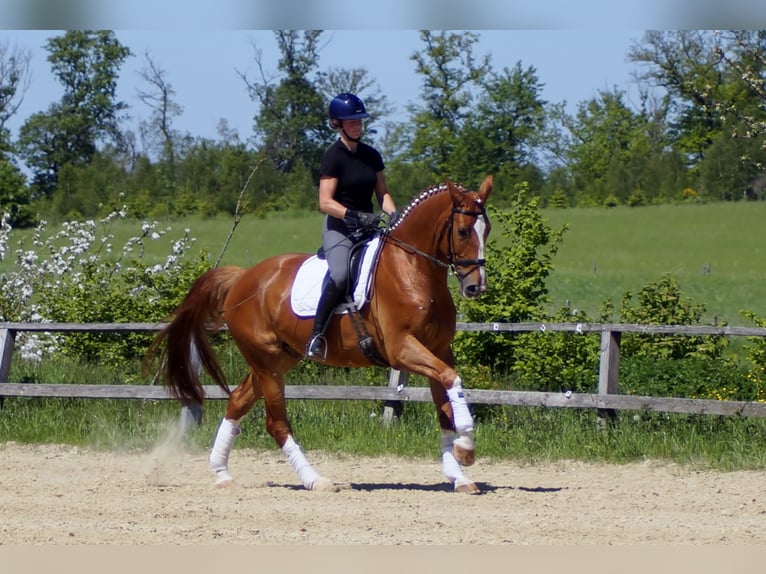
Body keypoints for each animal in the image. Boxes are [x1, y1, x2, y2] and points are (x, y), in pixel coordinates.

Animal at [147, 176, 496, 496]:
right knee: (277, 423)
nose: (475, 287)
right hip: (267, 363)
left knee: (237, 400)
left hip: (277, 360)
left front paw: (459, 474)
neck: (413, 269)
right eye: (463, 231)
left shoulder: (439, 349)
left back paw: (222, 473)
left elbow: (446, 405)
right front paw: (466, 449)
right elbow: (451, 381)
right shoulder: (402, 349)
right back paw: (315, 480)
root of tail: (242, 278)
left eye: (487, 229)